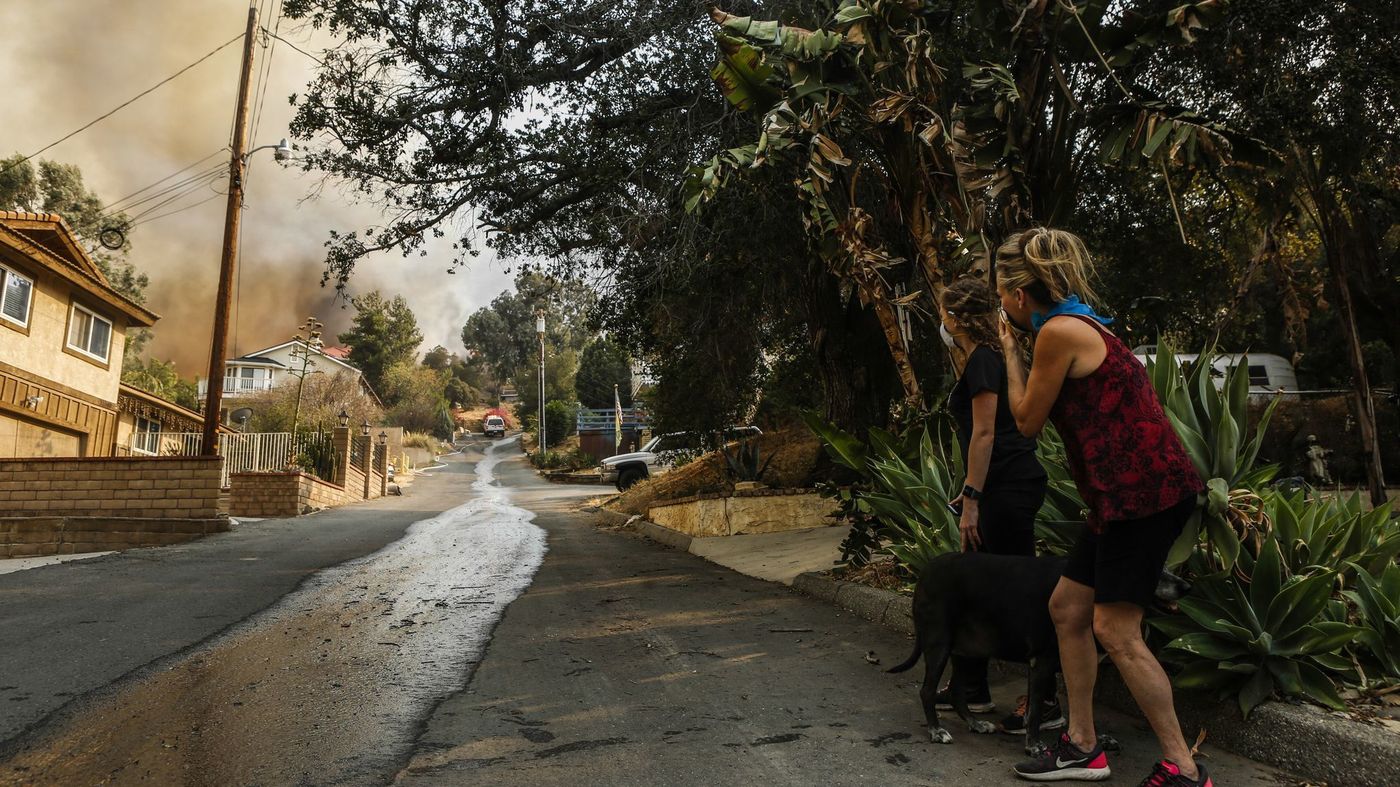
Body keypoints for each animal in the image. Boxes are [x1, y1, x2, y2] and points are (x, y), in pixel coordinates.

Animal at [890, 548, 1187, 750]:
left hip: (969, 651)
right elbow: (1033, 711)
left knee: (956, 692)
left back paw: (974, 724)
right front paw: (1034, 745)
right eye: (1153, 571)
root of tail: (926, 569)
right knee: (927, 691)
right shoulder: (1043, 661)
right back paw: (936, 730)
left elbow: (1079, 704)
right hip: (939, 644)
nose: (1187, 585)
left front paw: (1093, 737)